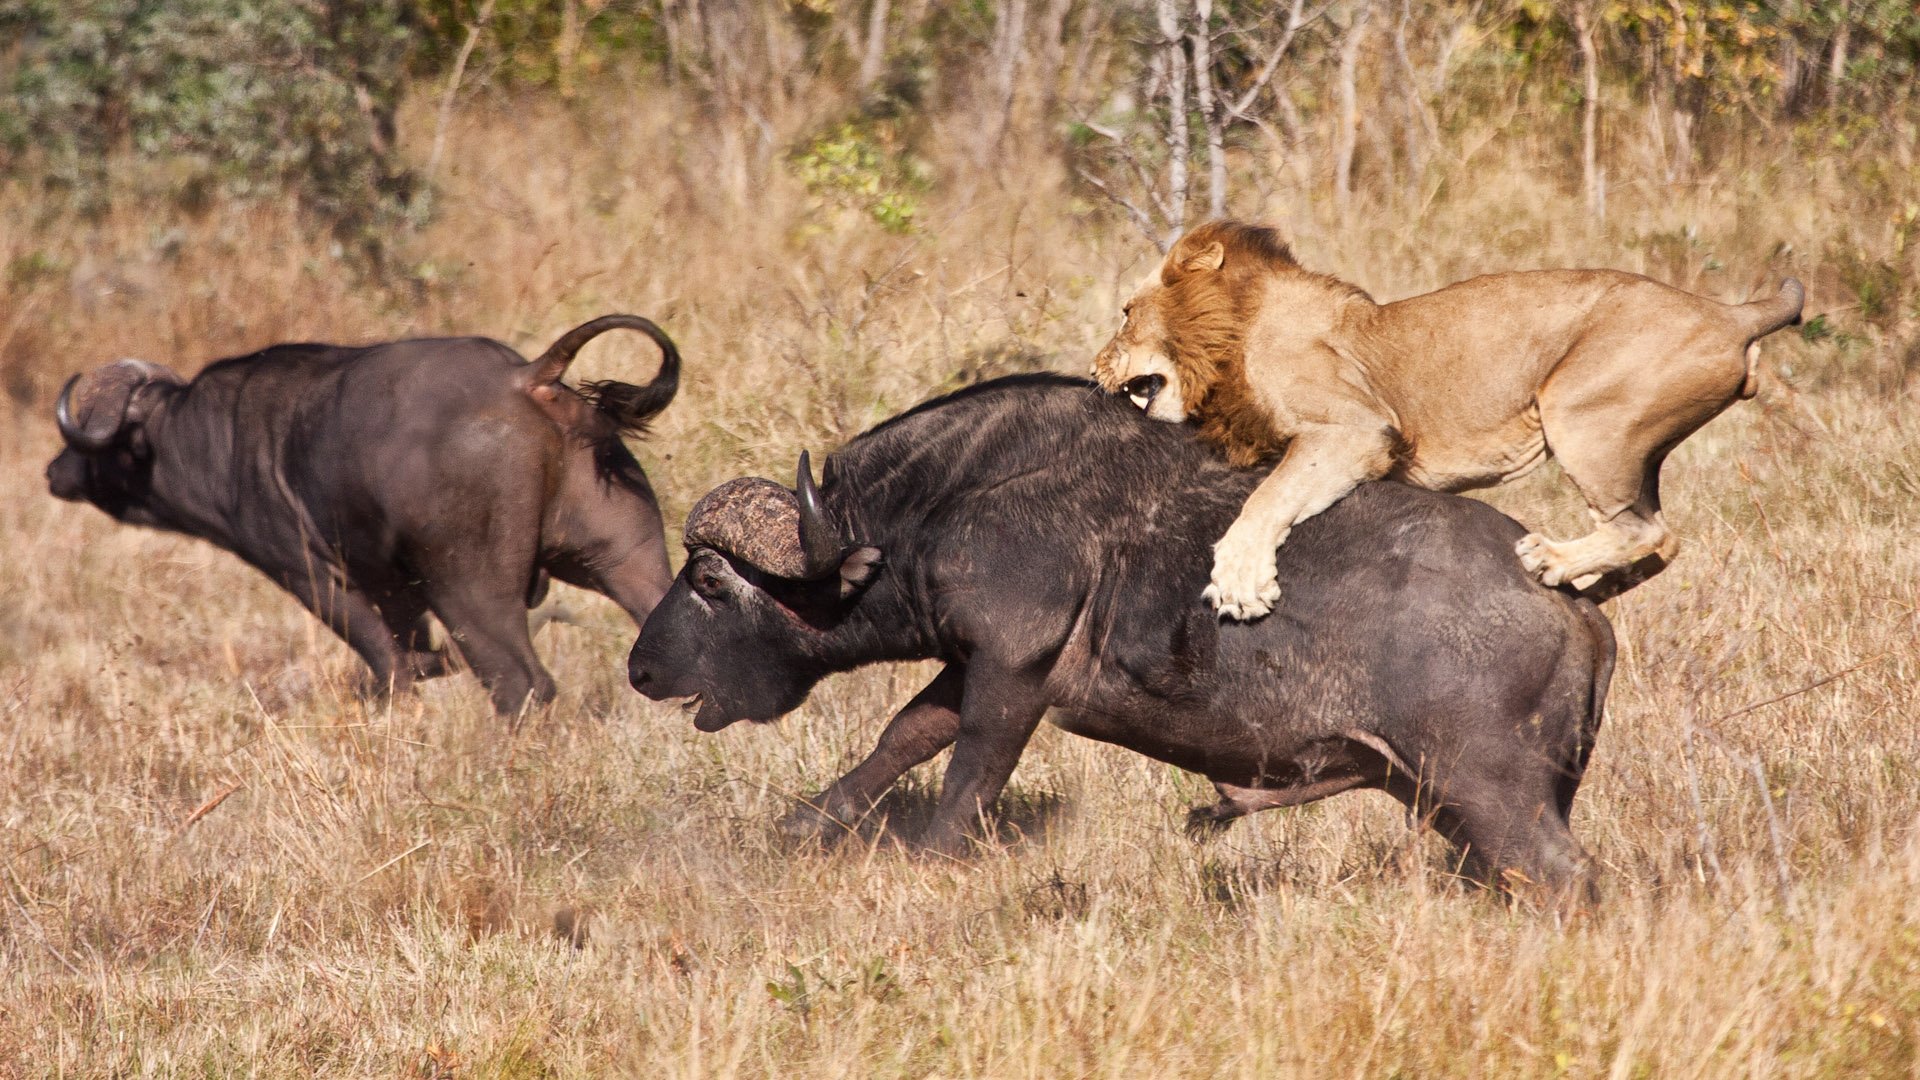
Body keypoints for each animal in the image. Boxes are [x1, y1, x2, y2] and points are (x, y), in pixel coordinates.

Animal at [1091, 219, 1805, 620]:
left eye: (1125, 312)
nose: (1094, 363)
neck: (1231, 334)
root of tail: (1730, 313)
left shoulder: (1356, 429)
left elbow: (1268, 498)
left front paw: (1239, 584)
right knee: (1665, 540)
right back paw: (1580, 585)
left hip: (1581, 415)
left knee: (1646, 529)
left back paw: (1550, 560)